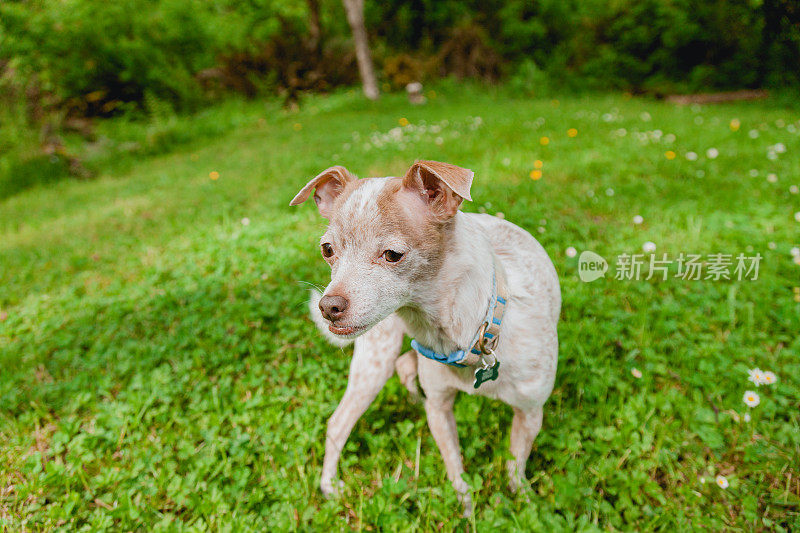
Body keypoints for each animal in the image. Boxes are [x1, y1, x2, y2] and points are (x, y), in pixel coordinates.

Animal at [290, 159, 560, 512]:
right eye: (327, 250)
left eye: (392, 254)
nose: (328, 306)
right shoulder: (440, 410)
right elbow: (456, 466)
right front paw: (467, 509)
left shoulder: (530, 412)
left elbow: (516, 465)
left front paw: (525, 501)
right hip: (375, 362)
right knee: (339, 421)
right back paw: (329, 486)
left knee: (405, 367)